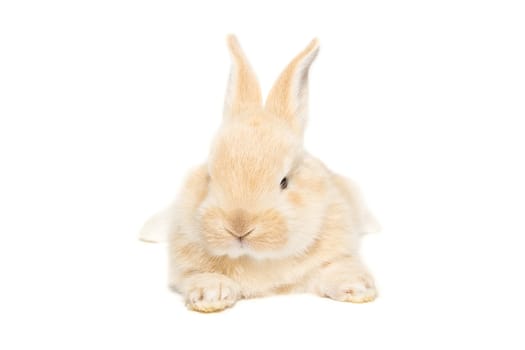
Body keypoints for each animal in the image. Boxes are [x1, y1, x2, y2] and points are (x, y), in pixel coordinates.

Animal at [139, 35, 378, 314]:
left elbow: (338, 268)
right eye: (210, 176)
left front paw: (357, 288)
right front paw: (211, 295)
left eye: (284, 182)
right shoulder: (186, 265)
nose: (239, 226)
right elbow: (200, 275)